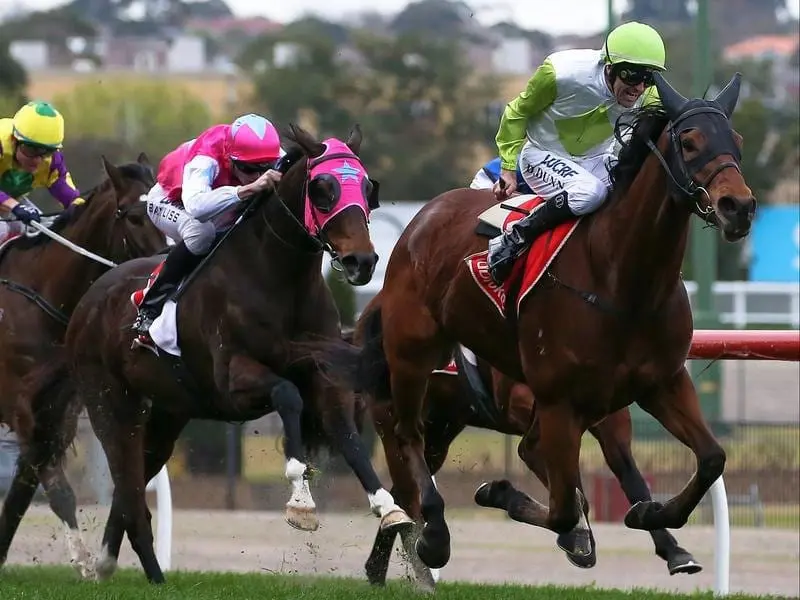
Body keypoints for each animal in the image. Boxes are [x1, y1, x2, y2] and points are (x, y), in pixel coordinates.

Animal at [0, 155, 165, 576]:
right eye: (134, 215)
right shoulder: (19, 404)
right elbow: (55, 488)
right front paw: (84, 560)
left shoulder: (57, 411)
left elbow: (23, 489)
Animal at [62, 124, 412, 584]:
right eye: (323, 189)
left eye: (369, 189)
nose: (362, 261)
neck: (279, 279)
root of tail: (90, 298)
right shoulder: (231, 381)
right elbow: (286, 395)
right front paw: (301, 500)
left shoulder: (323, 377)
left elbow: (348, 437)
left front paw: (389, 508)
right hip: (110, 402)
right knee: (128, 483)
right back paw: (151, 575)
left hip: (168, 413)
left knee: (131, 485)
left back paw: (107, 563)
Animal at [356, 300, 700, 584]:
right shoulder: (533, 410)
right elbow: (566, 485)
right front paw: (576, 538)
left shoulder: (610, 422)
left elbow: (633, 480)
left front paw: (674, 551)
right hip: (397, 421)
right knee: (407, 492)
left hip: (439, 432)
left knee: (407, 490)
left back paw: (381, 568)